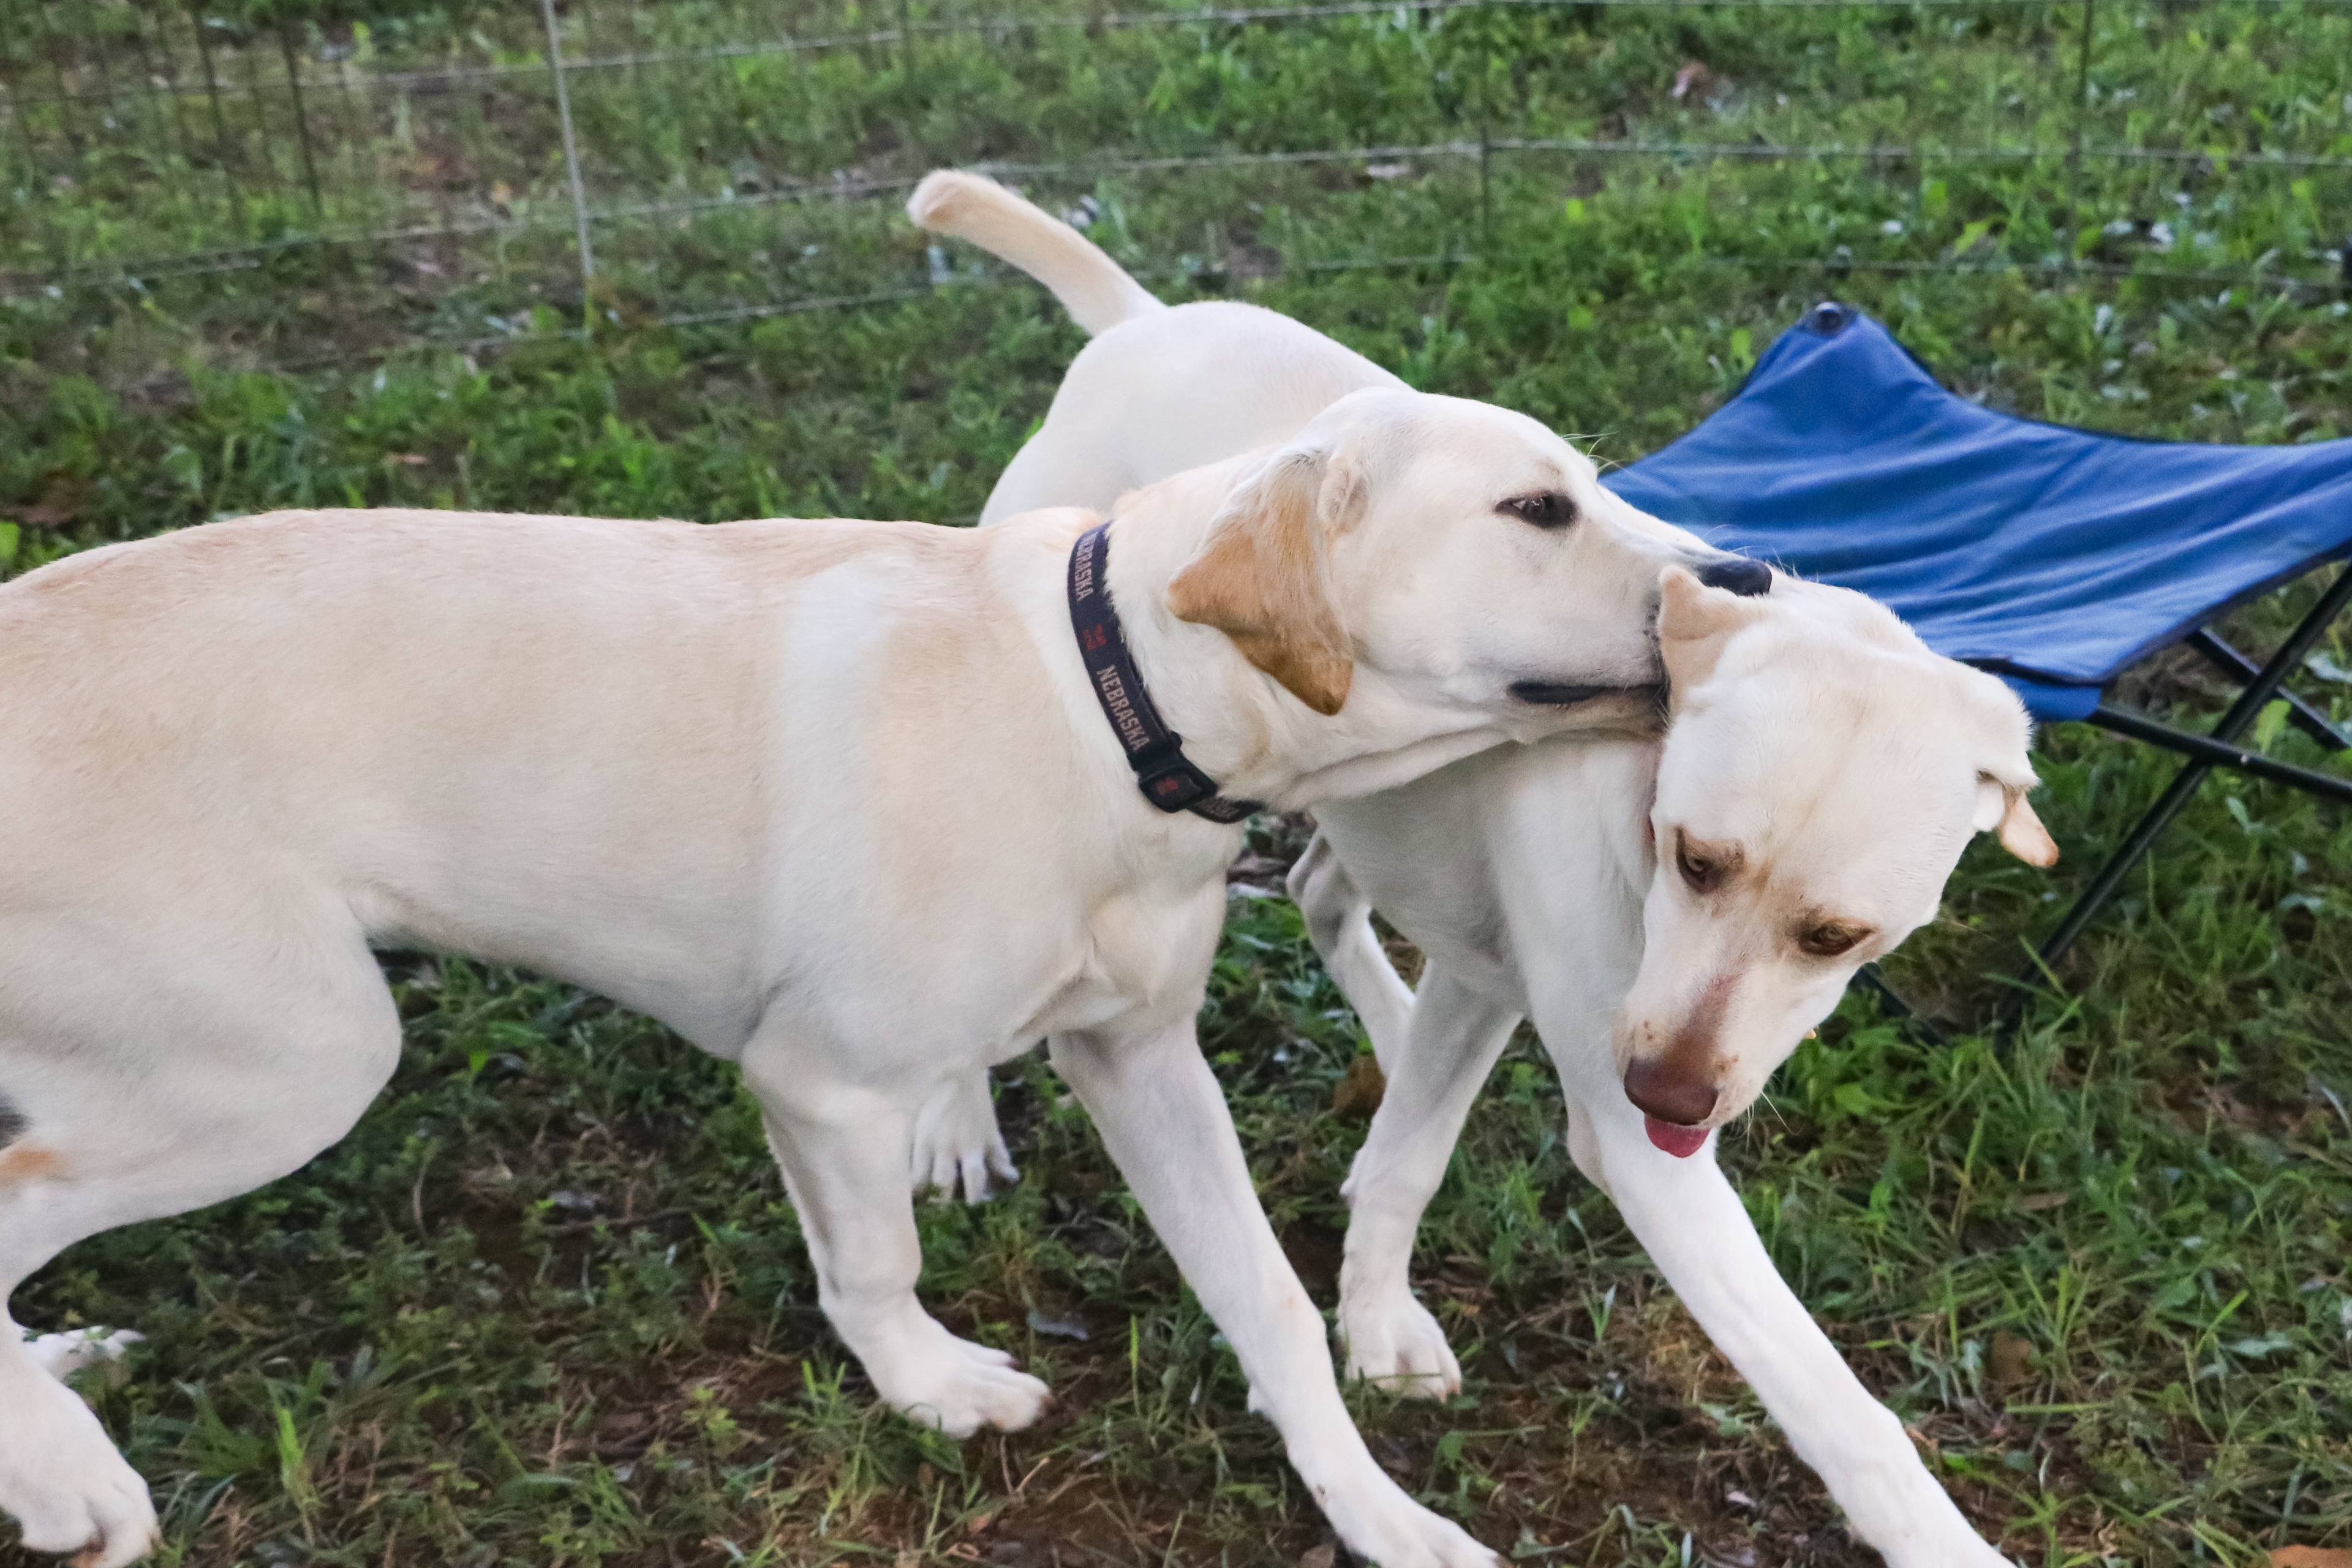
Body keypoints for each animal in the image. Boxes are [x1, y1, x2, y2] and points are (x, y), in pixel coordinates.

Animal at [0, 375, 1744, 1566]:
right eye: (1536, 511)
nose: (1749, 579)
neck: (1104, 699)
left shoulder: (1143, 1058)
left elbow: (1266, 1300)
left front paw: (1375, 1510)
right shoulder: (822, 1081)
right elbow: (876, 1266)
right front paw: (931, 1387)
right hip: (297, 1054)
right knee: (24, 1195)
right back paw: (67, 1466)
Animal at [909, 169, 2057, 1566]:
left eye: (1838, 938)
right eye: (1696, 859)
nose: (1672, 1095)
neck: (1636, 787)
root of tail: (1140, 320)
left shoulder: (1494, 987)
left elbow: (1409, 1156)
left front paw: (1374, 1315)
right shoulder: (1628, 1133)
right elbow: (1837, 1403)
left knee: (1325, 898)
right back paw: (959, 1117)